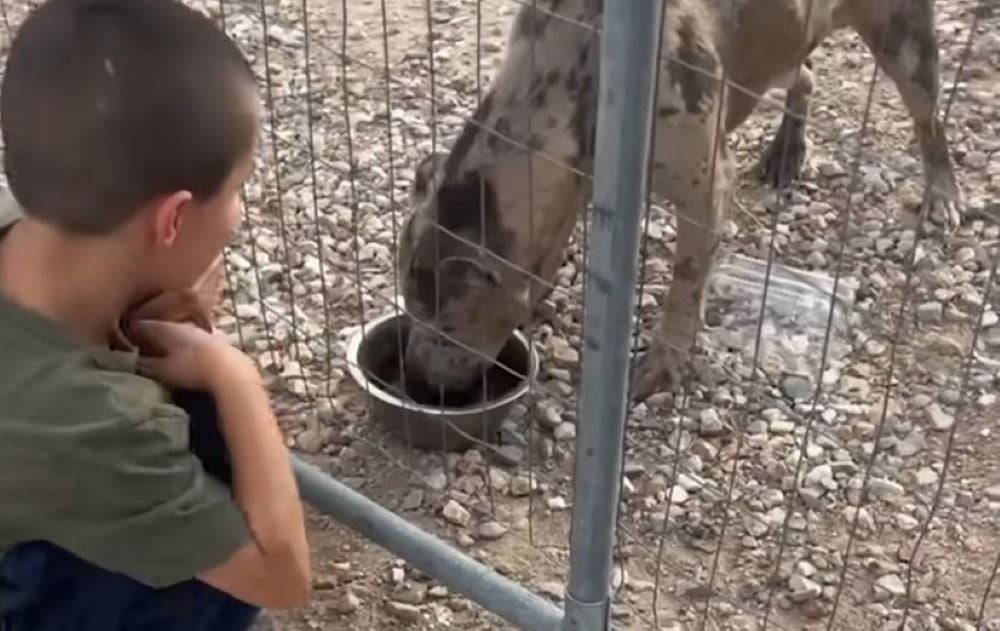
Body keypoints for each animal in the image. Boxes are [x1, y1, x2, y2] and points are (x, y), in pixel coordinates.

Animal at [396, 0, 960, 400]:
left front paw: (663, 364)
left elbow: (687, 281)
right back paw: (786, 151)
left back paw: (943, 193)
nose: (416, 376)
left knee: (930, 118)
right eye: (410, 309)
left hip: (904, 41)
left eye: (448, 325)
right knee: (805, 73)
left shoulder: (704, 188)